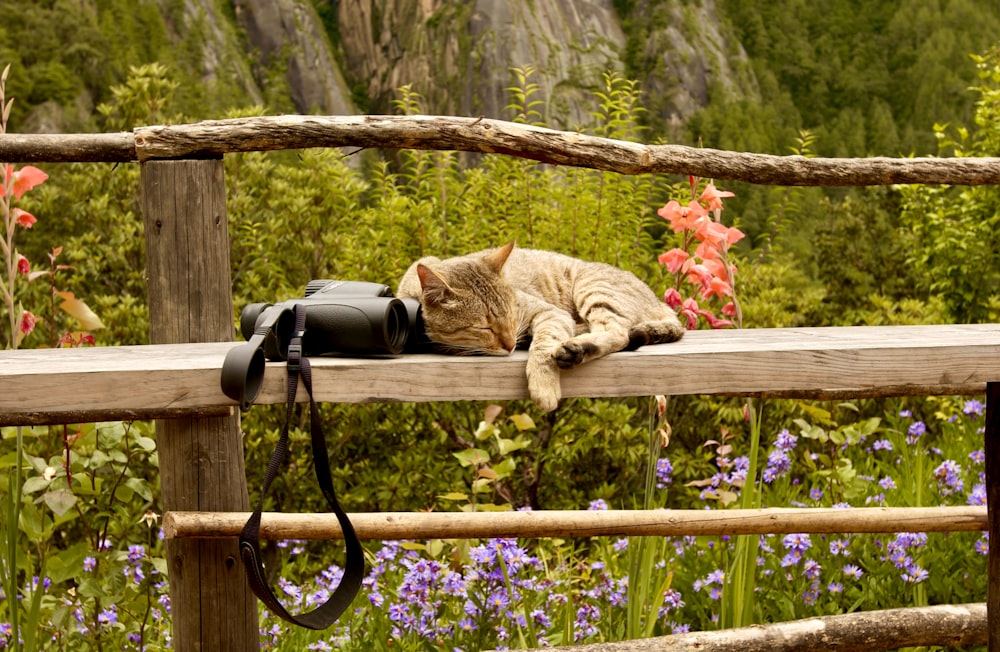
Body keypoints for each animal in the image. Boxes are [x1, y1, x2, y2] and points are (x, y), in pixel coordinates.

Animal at [398, 242, 688, 410]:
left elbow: (543, 347)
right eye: (484, 328)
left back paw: (576, 347)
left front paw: (543, 385)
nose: (510, 344)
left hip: (592, 286)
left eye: (512, 315)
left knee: (618, 333)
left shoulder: (549, 314)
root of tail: (658, 302)